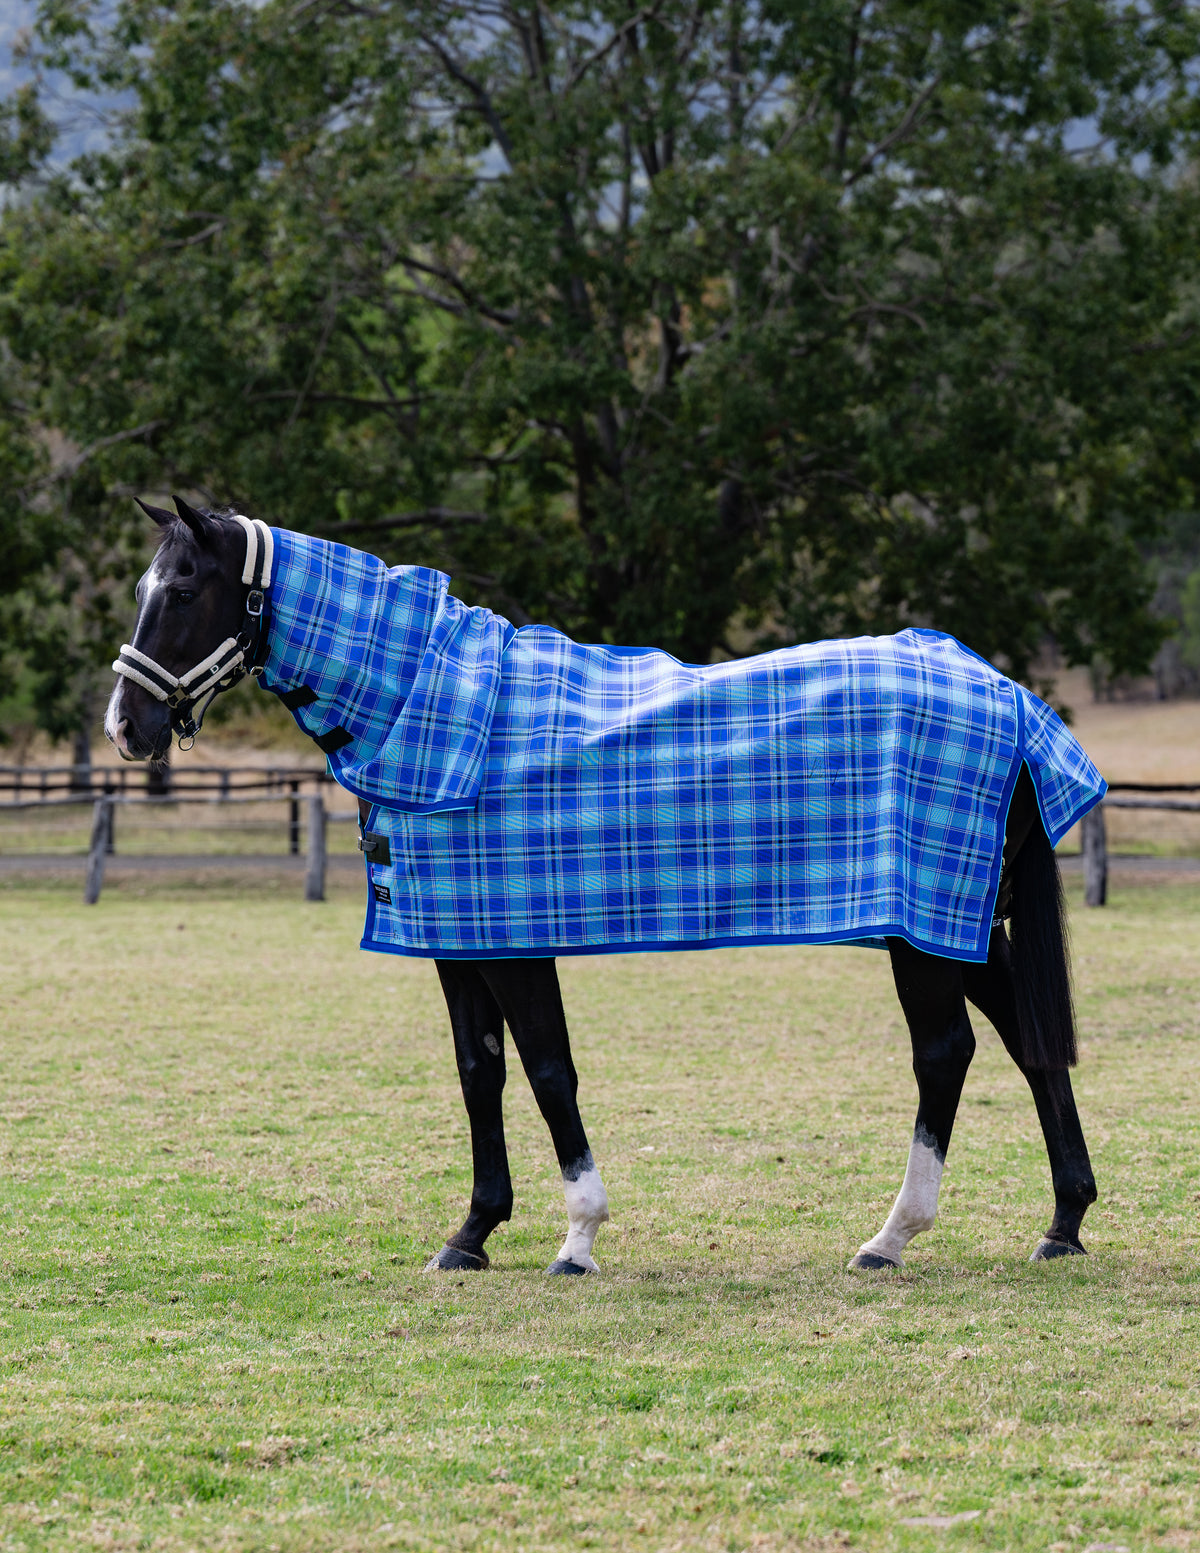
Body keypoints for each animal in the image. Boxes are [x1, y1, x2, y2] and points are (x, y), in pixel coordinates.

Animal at [105, 497, 1102, 1277]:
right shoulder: (458, 936)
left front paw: (578, 1237)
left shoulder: (516, 941)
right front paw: (471, 1233)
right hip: (960, 919)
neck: (438, 712)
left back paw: (891, 1236)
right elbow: (480, 1073)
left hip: (920, 928)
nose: (126, 725)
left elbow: (549, 1072)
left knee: (945, 1053)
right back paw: (1063, 1223)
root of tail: (1002, 691)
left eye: (183, 592)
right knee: (1028, 1041)